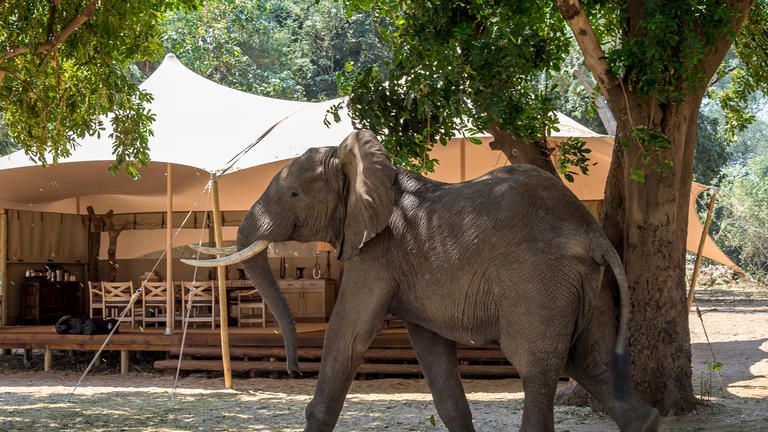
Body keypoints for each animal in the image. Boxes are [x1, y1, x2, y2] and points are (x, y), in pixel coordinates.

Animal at [184, 130, 661, 432]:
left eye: (296, 194)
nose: (293, 368)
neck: (361, 165)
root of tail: (592, 232)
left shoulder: (377, 255)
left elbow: (348, 335)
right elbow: (434, 359)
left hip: (541, 281)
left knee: (537, 367)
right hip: (588, 285)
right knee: (594, 363)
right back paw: (647, 419)